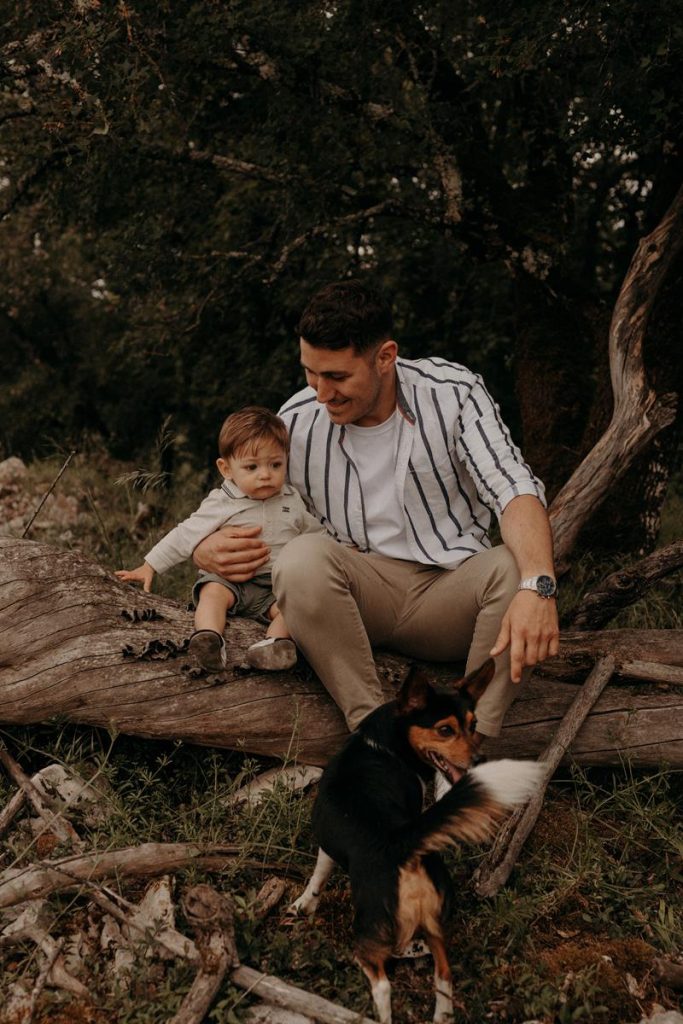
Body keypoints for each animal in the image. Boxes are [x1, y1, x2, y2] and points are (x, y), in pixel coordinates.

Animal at [292, 663, 544, 1024]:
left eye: (473, 726)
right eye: (446, 729)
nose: (480, 759)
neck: (385, 743)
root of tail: (400, 844)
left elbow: (319, 873)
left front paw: (306, 903)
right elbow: (319, 875)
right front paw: (303, 905)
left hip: (367, 929)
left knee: (382, 983)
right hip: (435, 921)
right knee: (444, 973)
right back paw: (442, 1013)